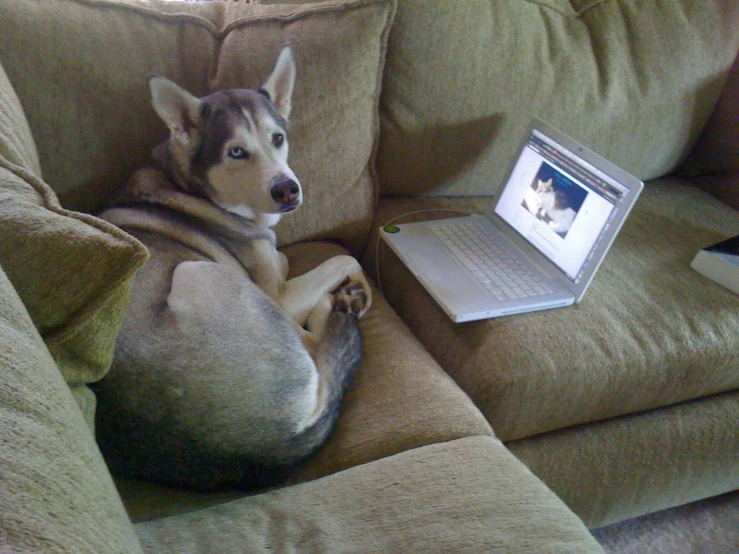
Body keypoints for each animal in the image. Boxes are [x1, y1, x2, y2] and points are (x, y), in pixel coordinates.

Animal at [94, 45, 370, 490]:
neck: (187, 183)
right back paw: (337, 305)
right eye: (236, 151)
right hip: (199, 273)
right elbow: (343, 257)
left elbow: (288, 256)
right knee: (316, 346)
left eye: (278, 138)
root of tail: (266, 445)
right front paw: (354, 287)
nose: (288, 190)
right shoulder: (280, 295)